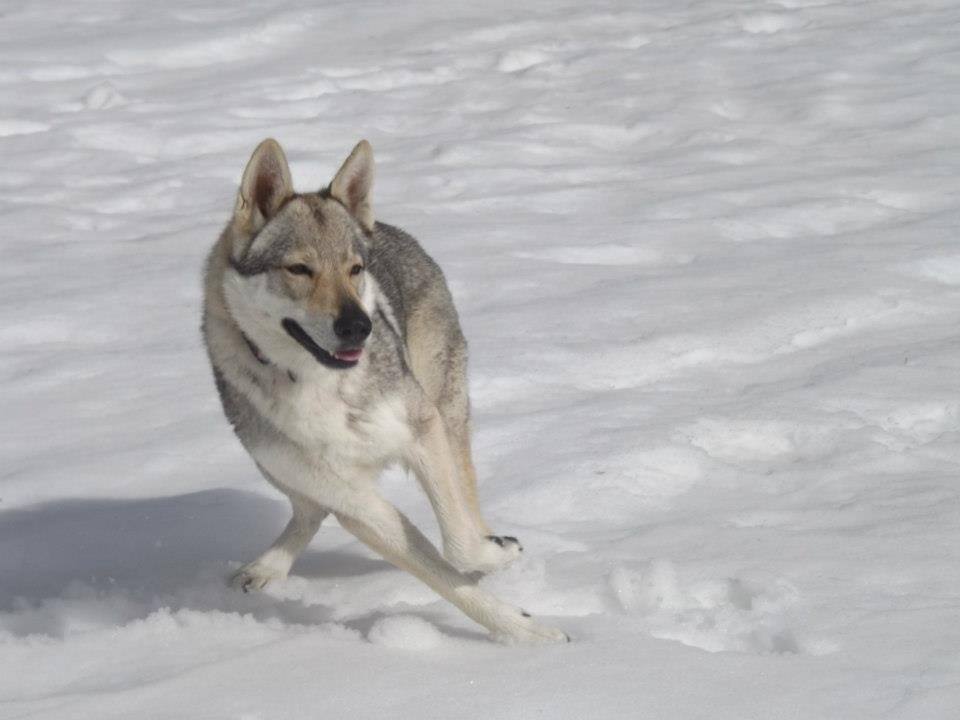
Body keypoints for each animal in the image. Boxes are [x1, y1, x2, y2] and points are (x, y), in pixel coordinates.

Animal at [202, 139, 567, 643]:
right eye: (299, 269)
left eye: (355, 269)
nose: (359, 326)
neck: (319, 384)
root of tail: (390, 229)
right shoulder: (354, 501)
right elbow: (443, 573)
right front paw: (526, 632)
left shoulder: (423, 429)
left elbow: (459, 544)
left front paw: (502, 570)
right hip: (270, 462)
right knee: (308, 511)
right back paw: (265, 569)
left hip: (447, 412)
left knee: (467, 497)